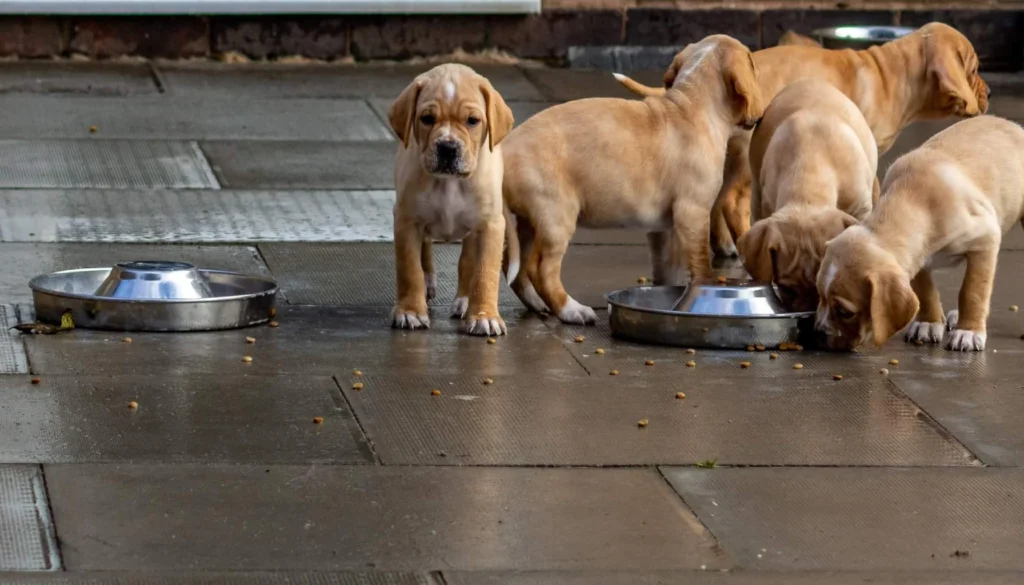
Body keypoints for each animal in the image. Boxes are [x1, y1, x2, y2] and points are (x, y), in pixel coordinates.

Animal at [385, 62, 512, 336]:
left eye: (473, 121)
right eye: (427, 119)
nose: (448, 147)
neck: (449, 182)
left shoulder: (490, 225)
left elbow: (484, 272)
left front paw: (484, 316)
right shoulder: (406, 220)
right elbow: (409, 269)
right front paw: (410, 311)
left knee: (467, 262)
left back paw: (464, 301)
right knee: (424, 251)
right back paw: (429, 283)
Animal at [614, 23, 991, 256]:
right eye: (973, 69)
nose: (988, 93)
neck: (892, 74)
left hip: (730, 156)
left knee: (716, 201)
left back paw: (723, 245)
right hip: (747, 161)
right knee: (731, 202)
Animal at [815, 116, 1024, 350]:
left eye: (845, 312)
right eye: (819, 295)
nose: (817, 333)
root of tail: (1012, 125)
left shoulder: (985, 240)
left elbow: (973, 291)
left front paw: (968, 331)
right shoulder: (918, 259)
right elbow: (926, 292)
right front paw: (929, 322)